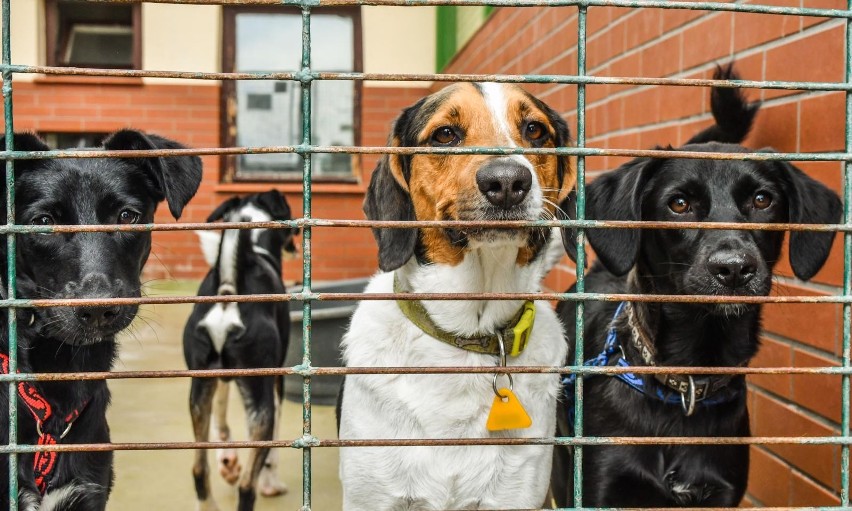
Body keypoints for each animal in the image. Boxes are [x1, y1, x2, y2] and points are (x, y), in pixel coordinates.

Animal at [181, 191, 298, 511]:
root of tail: (229, 289)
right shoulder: (275, 384)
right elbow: (270, 455)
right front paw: (271, 483)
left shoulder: (218, 378)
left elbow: (221, 420)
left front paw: (228, 461)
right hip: (261, 397)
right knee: (247, 486)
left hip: (199, 388)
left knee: (198, 468)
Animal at [548, 67, 844, 508]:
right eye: (679, 204)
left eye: (763, 200)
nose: (734, 269)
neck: (687, 380)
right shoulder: (600, 488)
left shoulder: (720, 491)